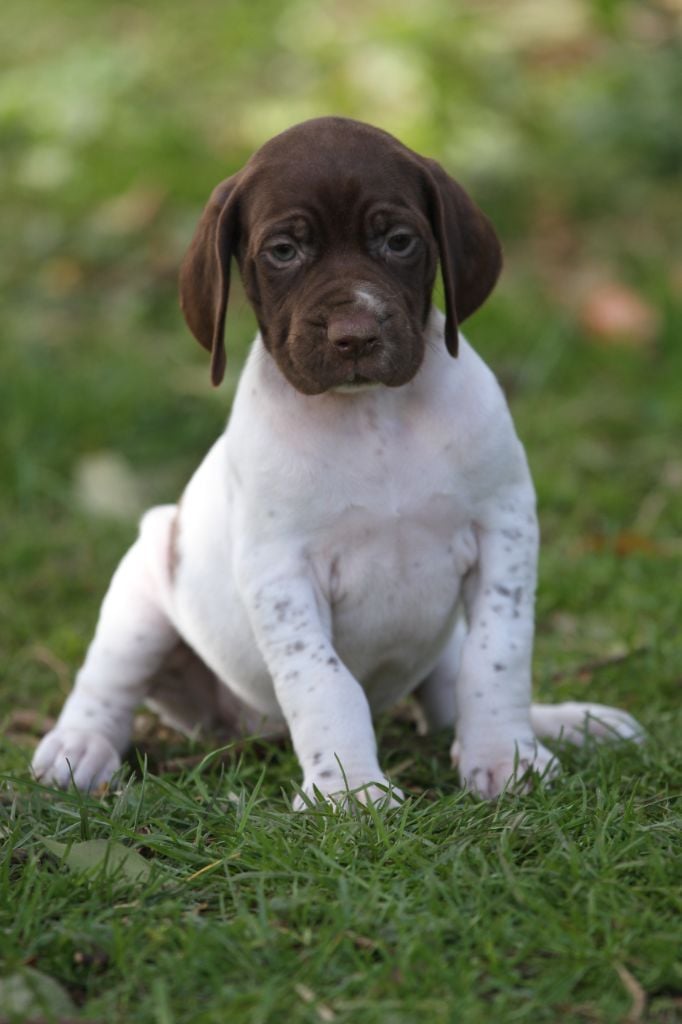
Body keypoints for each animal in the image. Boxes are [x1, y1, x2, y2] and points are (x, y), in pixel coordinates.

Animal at [31, 117, 638, 806]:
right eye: (283, 251)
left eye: (399, 241)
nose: (355, 335)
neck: (371, 417)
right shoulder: (282, 571)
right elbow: (324, 683)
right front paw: (352, 794)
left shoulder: (504, 529)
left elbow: (497, 655)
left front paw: (508, 757)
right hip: (142, 588)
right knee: (106, 682)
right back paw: (79, 747)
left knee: (451, 693)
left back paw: (569, 723)